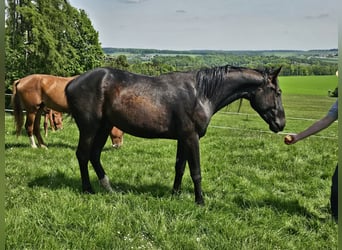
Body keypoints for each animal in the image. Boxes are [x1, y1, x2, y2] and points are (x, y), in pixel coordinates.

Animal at [65, 65, 284, 204]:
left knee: (94, 155)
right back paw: (88, 189)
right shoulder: (191, 137)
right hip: (90, 128)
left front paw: (175, 194)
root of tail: (72, 83)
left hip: (104, 127)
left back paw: (108, 188)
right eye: (278, 92)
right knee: (83, 155)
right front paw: (200, 201)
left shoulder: (183, 138)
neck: (201, 93)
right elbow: (195, 171)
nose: (281, 123)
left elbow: (180, 167)